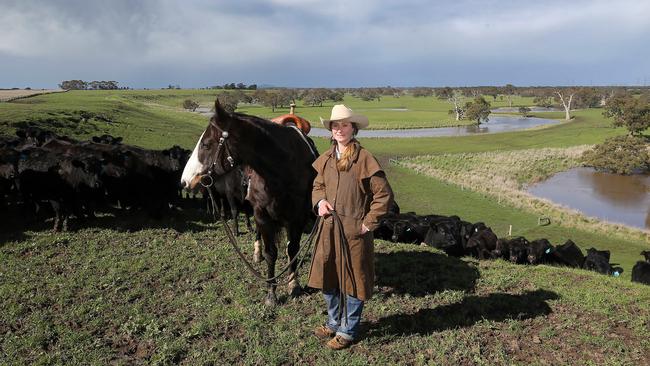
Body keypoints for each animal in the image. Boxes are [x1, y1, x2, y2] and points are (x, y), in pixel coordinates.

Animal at [180, 100, 316, 306]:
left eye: (206, 144)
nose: (185, 181)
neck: (283, 170)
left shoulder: (298, 217)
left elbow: (293, 249)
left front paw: (294, 284)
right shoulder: (262, 214)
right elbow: (271, 253)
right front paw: (271, 294)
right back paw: (256, 253)